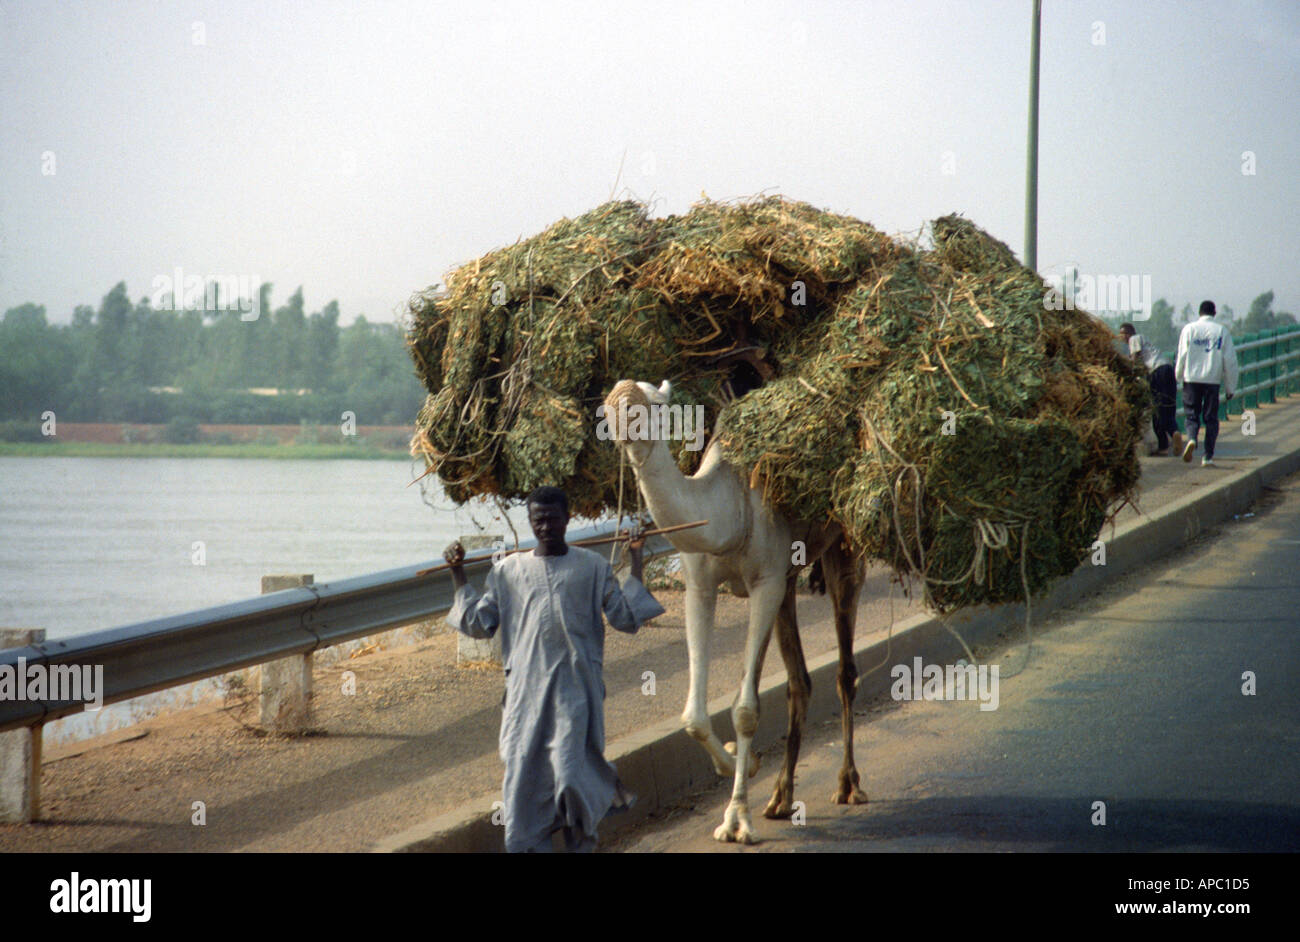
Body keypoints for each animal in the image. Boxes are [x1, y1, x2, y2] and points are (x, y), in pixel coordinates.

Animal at [603, 378, 868, 843]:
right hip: (788, 580)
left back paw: (848, 785)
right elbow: (693, 715)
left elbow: (745, 710)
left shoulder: (764, 583)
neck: (729, 507)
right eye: (607, 410)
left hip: (842, 544)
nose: (622, 414)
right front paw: (740, 765)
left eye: (655, 406)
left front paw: (736, 819)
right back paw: (780, 798)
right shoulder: (701, 587)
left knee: (845, 671)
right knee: (799, 680)